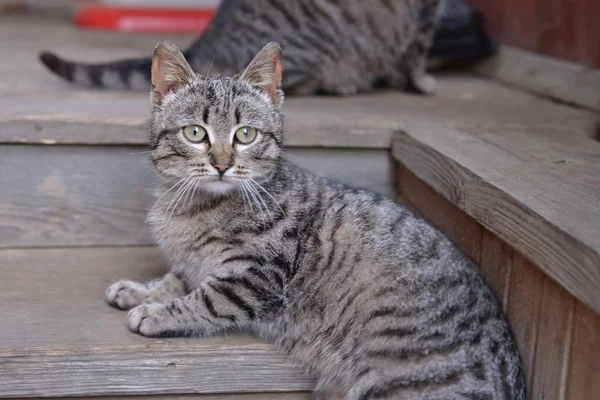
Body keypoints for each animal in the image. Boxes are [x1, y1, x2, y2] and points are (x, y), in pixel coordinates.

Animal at [105, 41, 528, 400]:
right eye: (195, 133)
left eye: (245, 134)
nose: (222, 164)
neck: (196, 207)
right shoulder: (199, 263)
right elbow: (178, 277)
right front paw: (140, 290)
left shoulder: (254, 277)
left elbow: (205, 299)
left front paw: (156, 312)